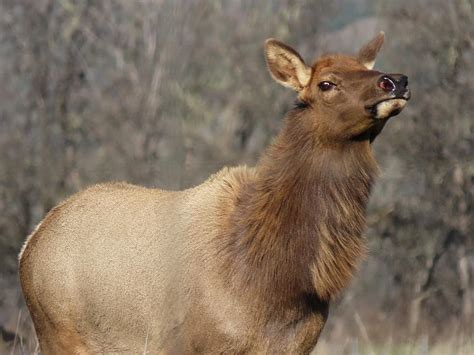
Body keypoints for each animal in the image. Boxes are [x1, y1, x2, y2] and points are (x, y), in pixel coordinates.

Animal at [19, 32, 412, 354]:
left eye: (362, 67)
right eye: (326, 83)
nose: (396, 80)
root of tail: (32, 242)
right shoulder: (194, 345)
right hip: (59, 334)